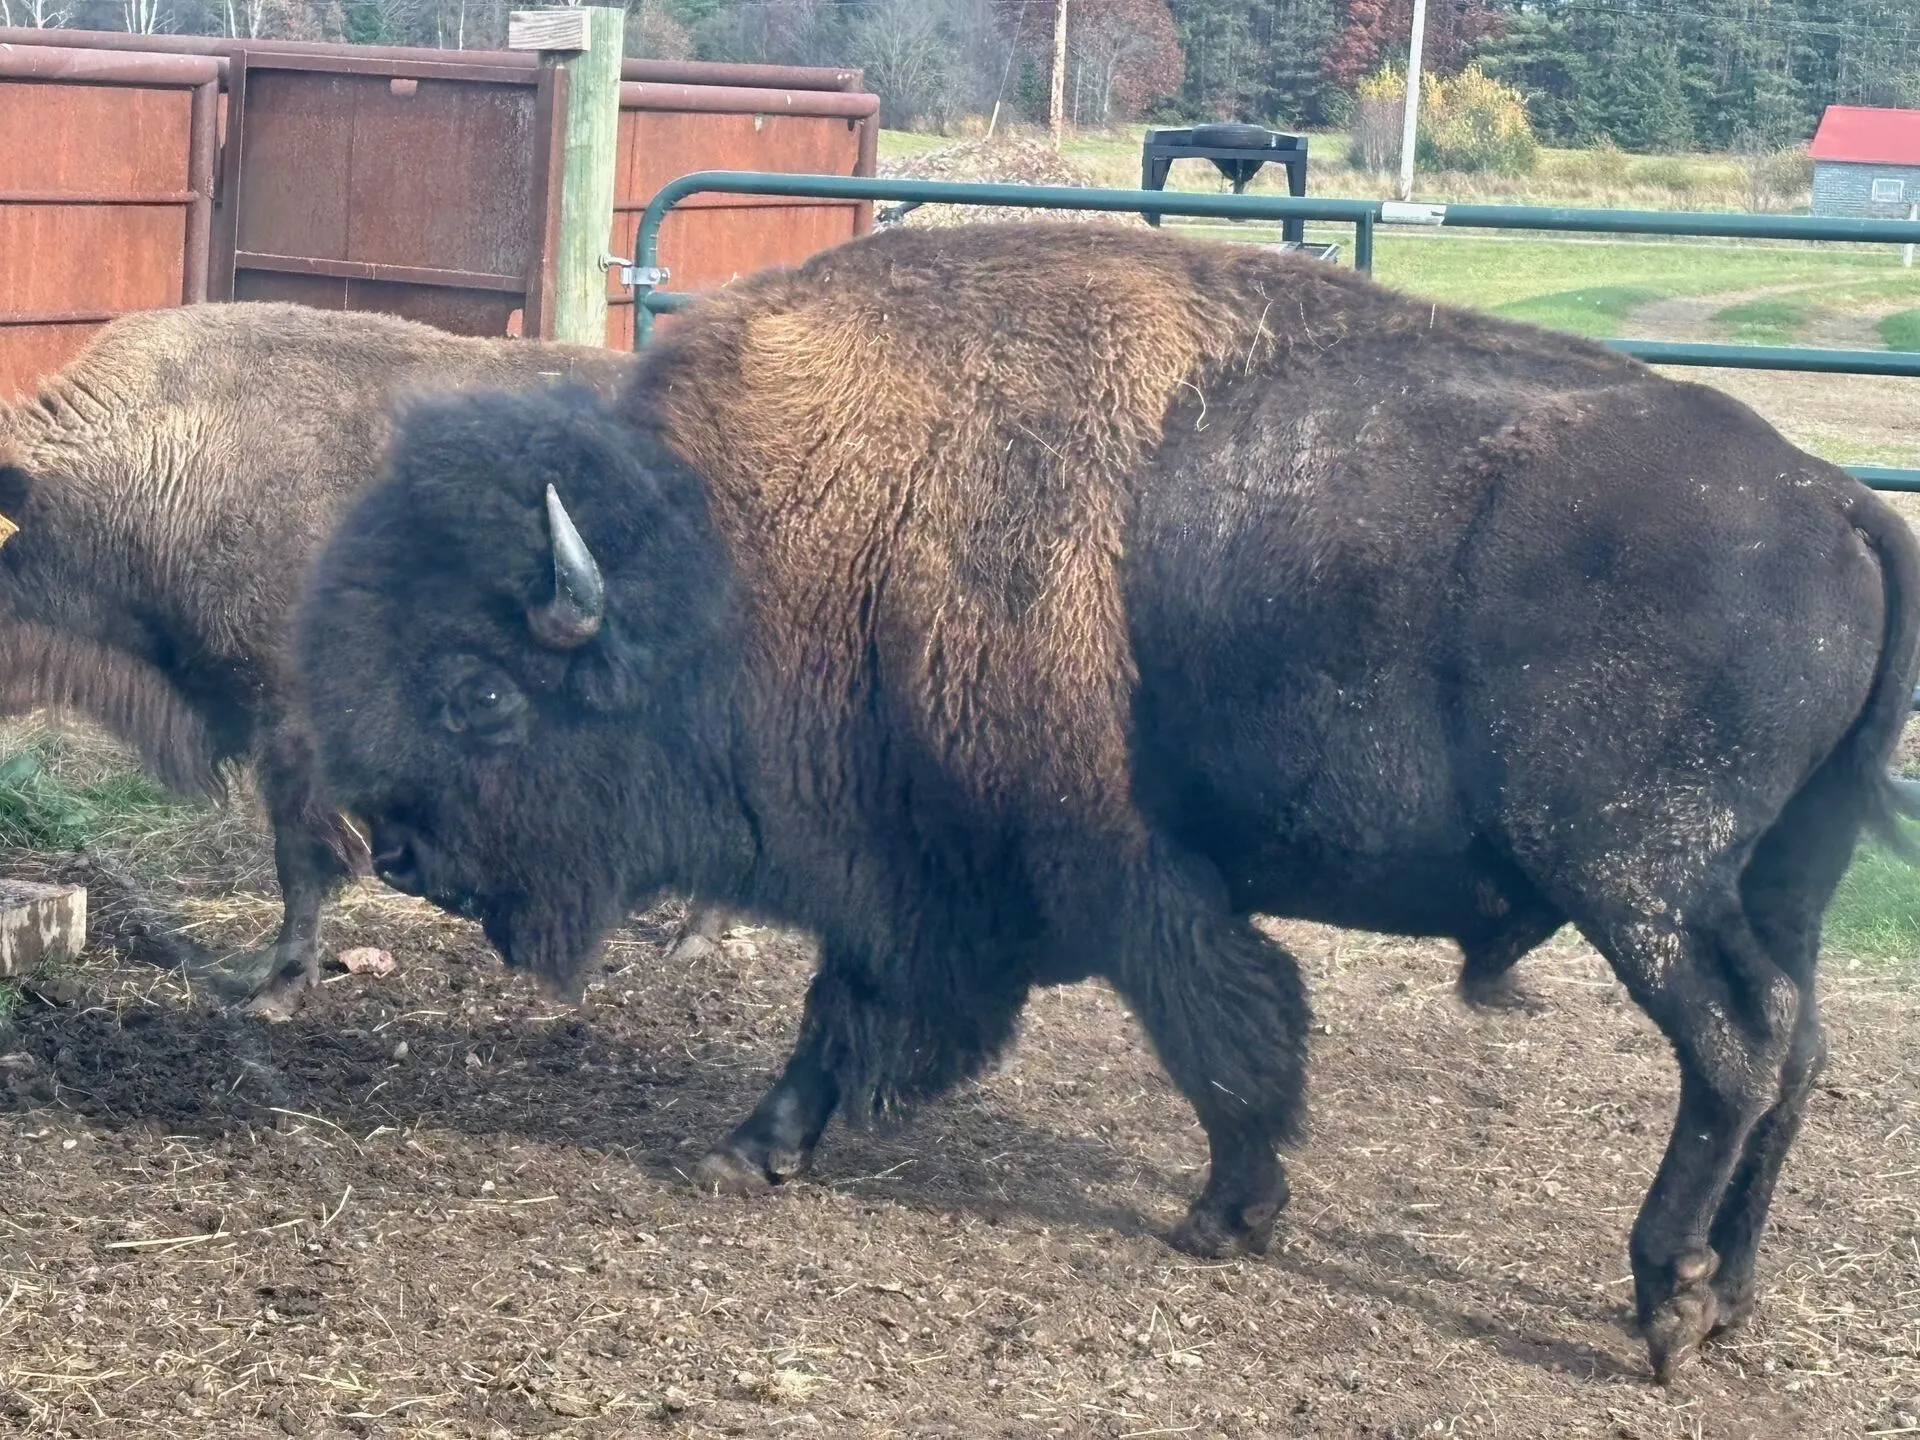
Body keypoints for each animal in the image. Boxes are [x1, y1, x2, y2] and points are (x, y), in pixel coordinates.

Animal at [291, 222, 1920, 1383]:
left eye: (480, 691)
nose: (407, 852)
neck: (772, 538)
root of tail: (1835, 498)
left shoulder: (1105, 868)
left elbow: (1225, 1027)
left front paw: (1225, 1218)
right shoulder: (909, 873)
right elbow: (848, 1007)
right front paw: (754, 1146)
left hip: (1638, 881)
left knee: (1733, 1049)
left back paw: (1665, 1303)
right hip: (1778, 881)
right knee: (1799, 1050)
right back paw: (1736, 1300)